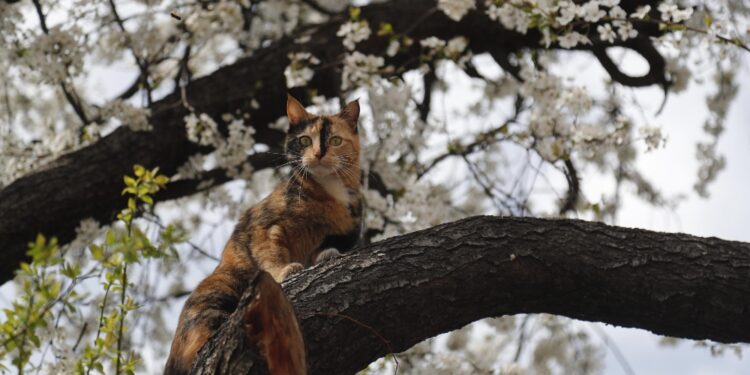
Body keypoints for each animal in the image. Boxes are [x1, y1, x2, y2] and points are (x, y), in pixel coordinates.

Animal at [165, 95, 364, 374]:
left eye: (335, 140)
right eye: (305, 140)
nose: (318, 154)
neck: (330, 191)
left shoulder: (348, 232)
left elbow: (328, 245)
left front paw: (327, 255)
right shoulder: (264, 227)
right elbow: (272, 254)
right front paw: (286, 270)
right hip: (219, 292)